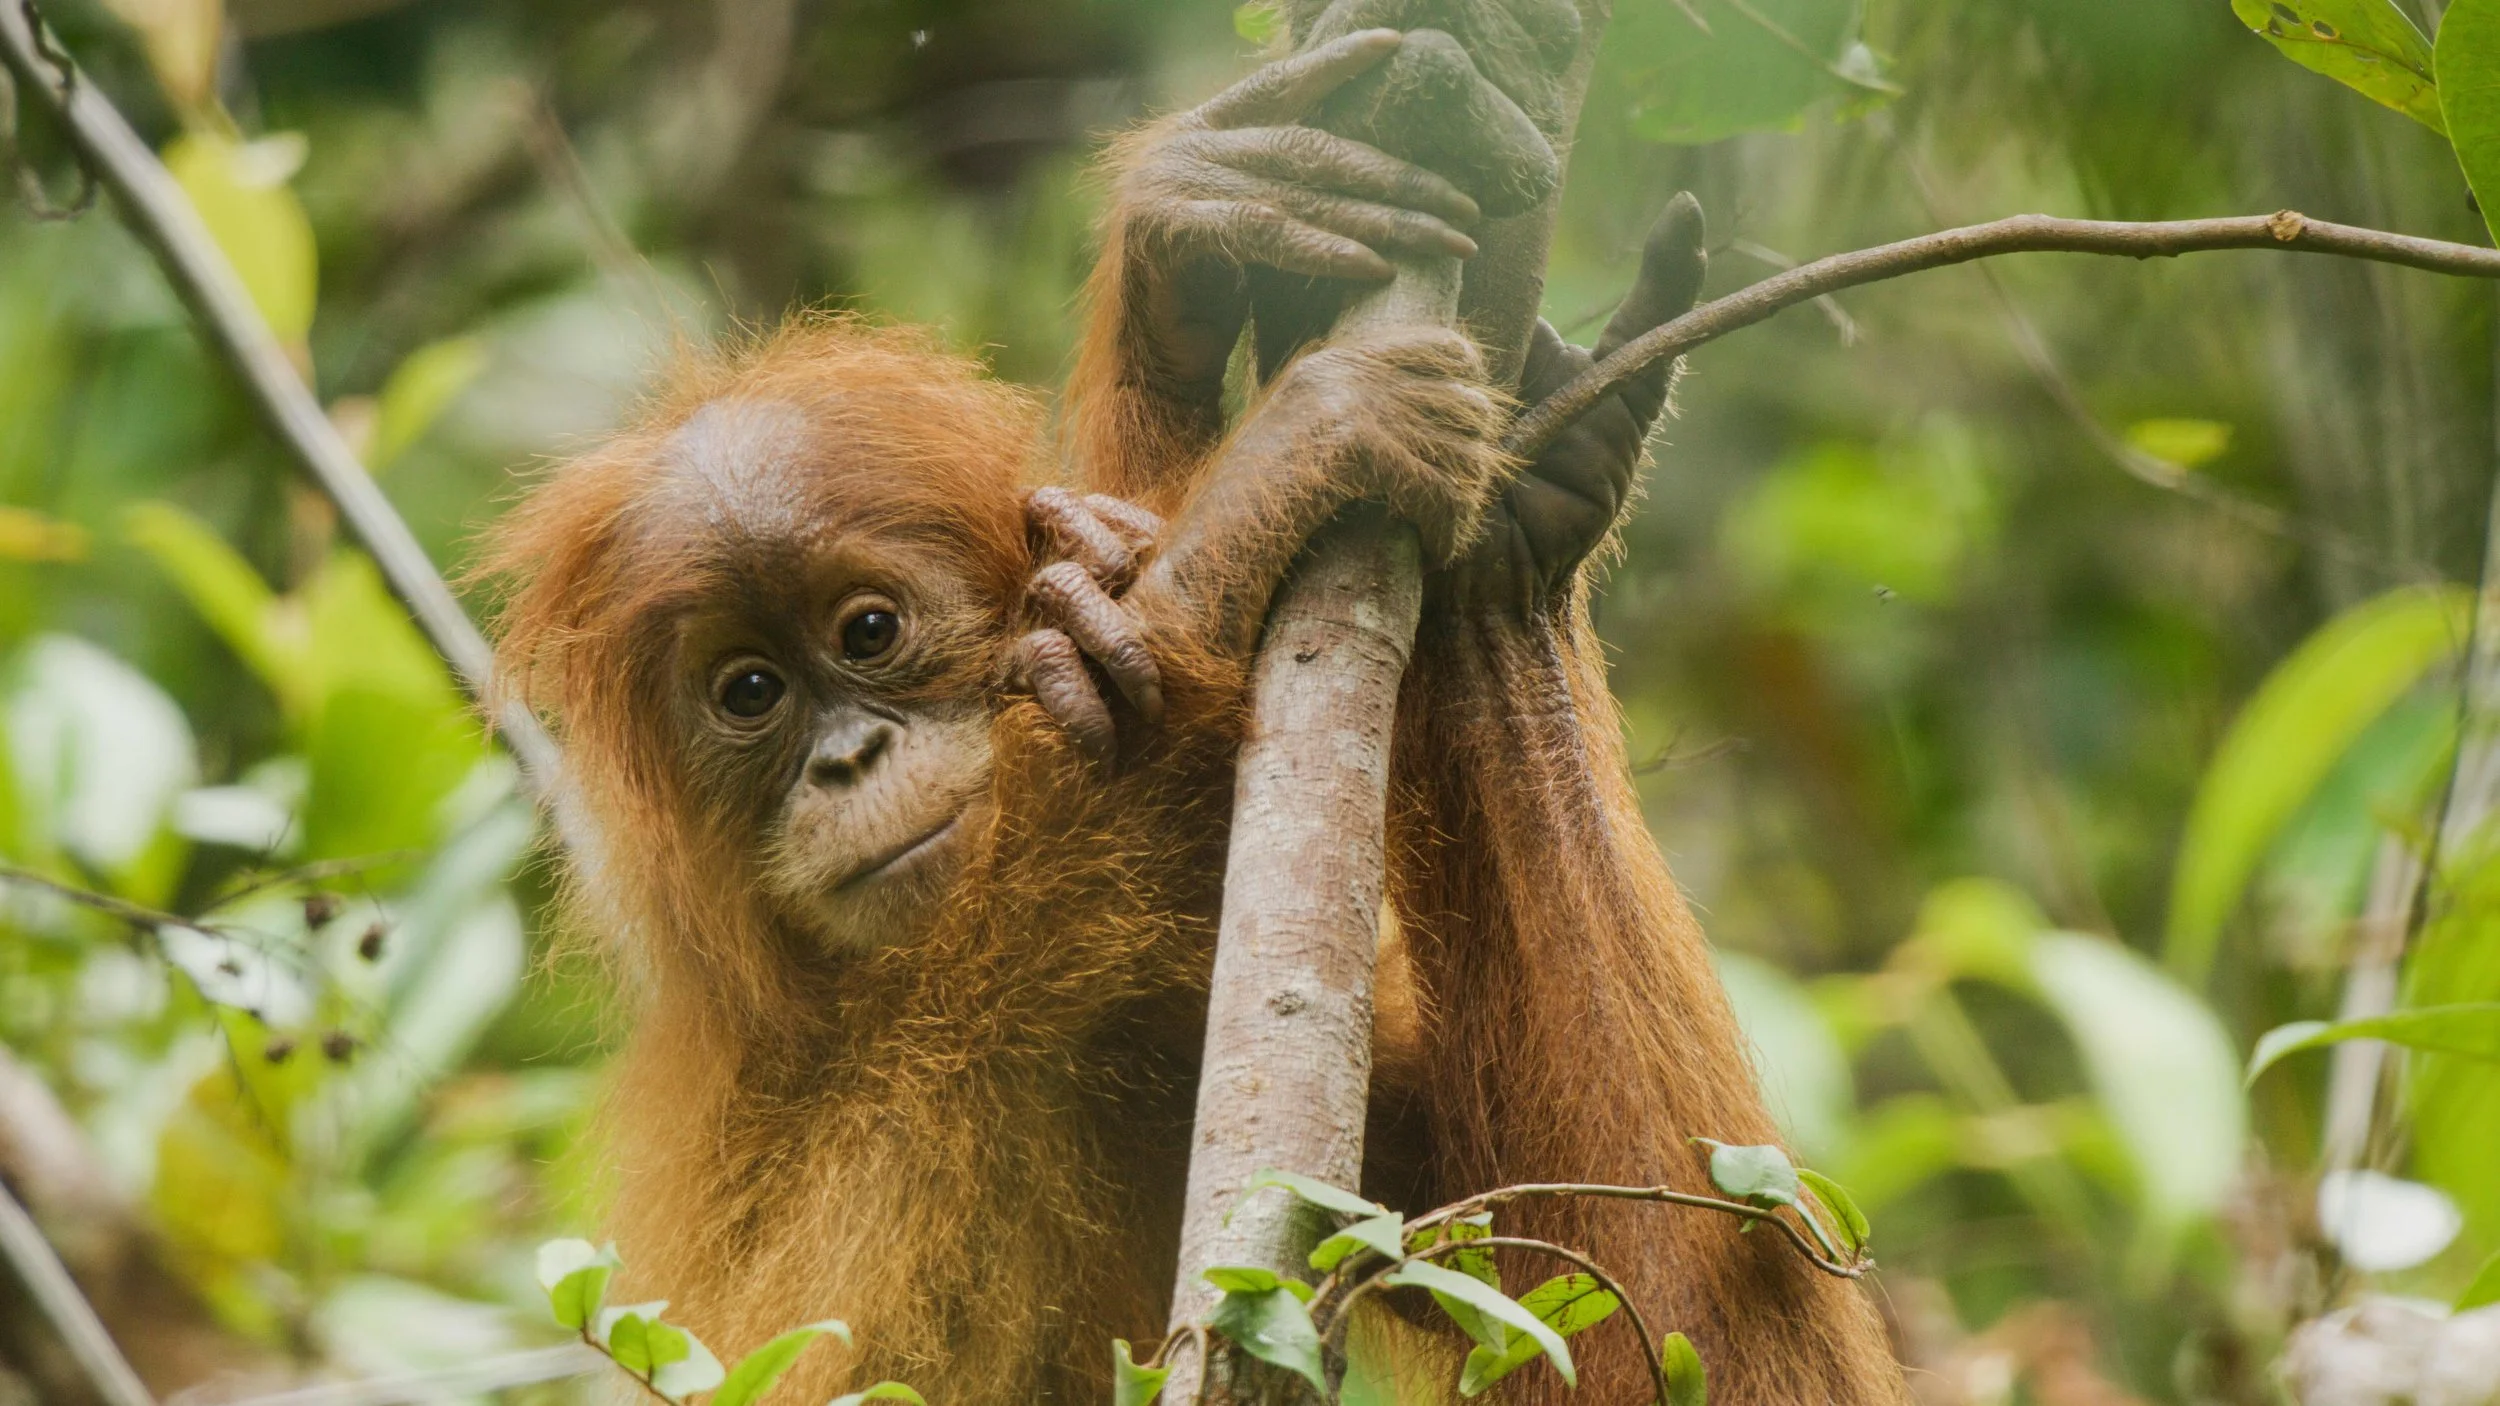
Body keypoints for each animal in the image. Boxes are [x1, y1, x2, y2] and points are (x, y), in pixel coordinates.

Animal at [481, 315, 1510, 1403]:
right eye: (750, 691)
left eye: (870, 630)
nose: (850, 758)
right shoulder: (750, 1104)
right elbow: (865, 1338)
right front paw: (1244, 509)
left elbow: (1523, 1219)